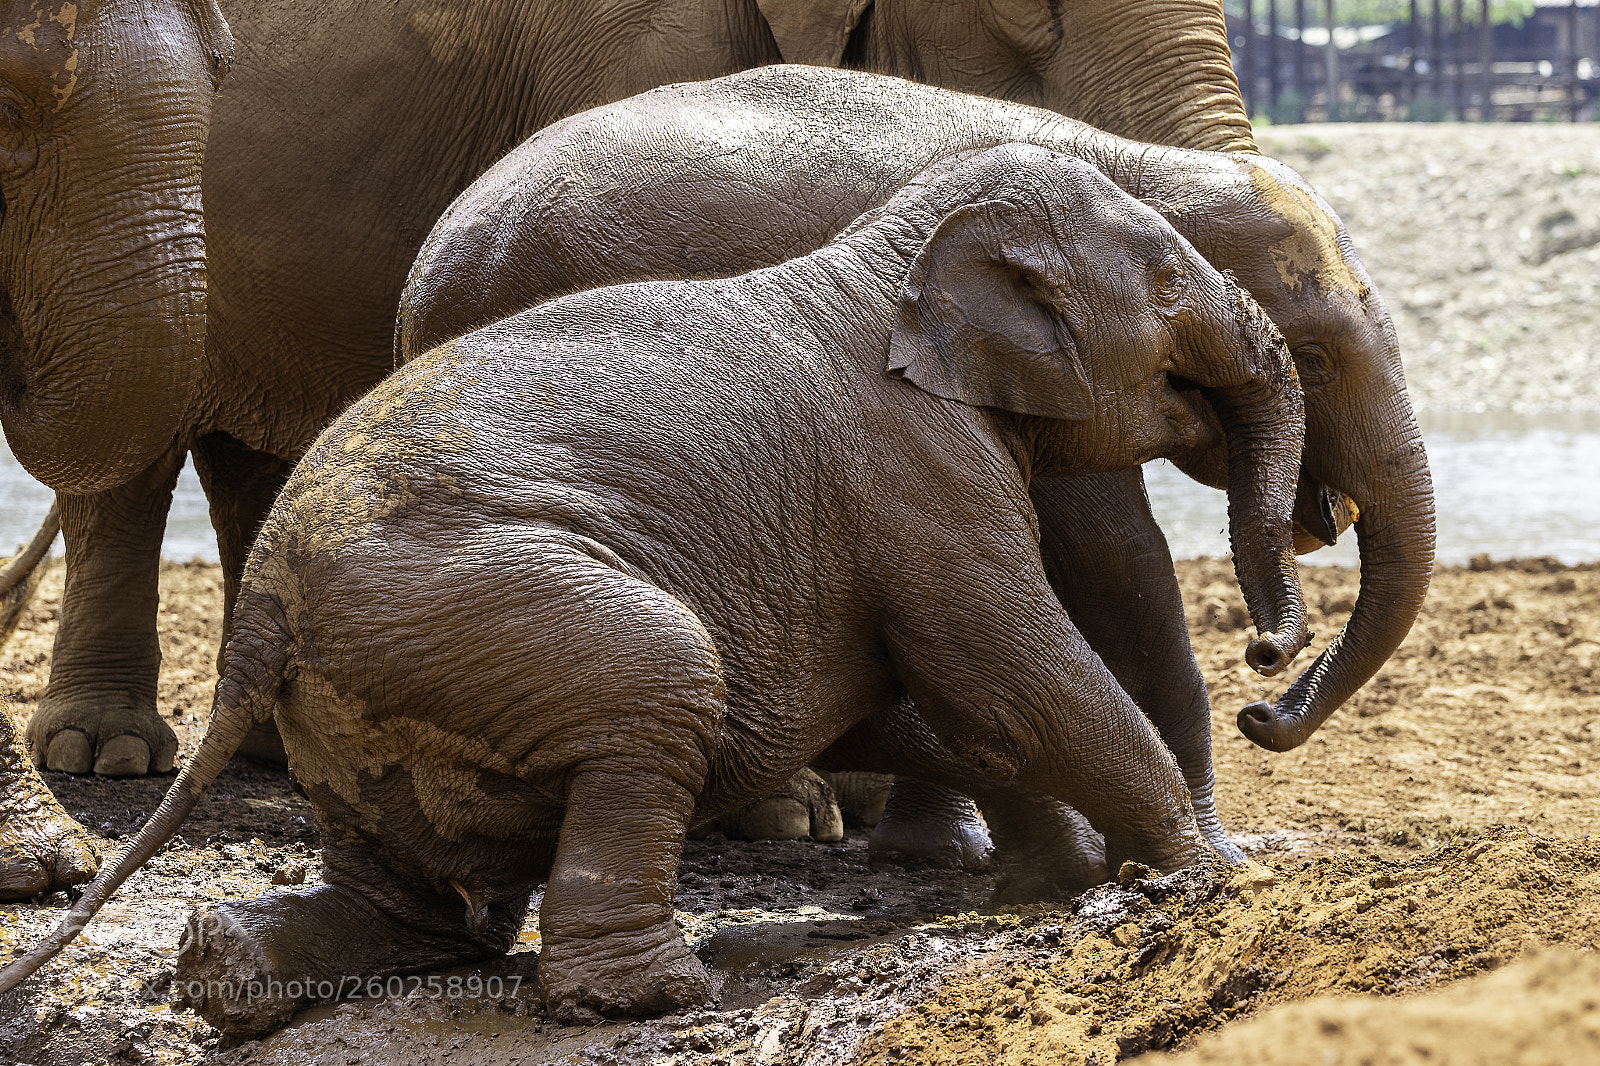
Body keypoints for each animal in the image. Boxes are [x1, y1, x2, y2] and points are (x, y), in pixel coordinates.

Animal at [0, 145, 1312, 1031]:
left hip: (371, 697)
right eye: (1169, 280)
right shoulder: (919, 472)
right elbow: (999, 670)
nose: (1265, 665)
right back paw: (660, 988)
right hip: (475, 611)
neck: (886, 247)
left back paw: (224, 969)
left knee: (416, 888)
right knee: (662, 678)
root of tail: (257, 626)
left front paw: (1071, 878)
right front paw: (1205, 878)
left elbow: (916, 703)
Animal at [396, 65, 1437, 870]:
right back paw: (788, 822)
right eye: (1313, 359)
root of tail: (422, 277)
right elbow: (1119, 569)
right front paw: (1212, 857)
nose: (1264, 683)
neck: (1137, 162)